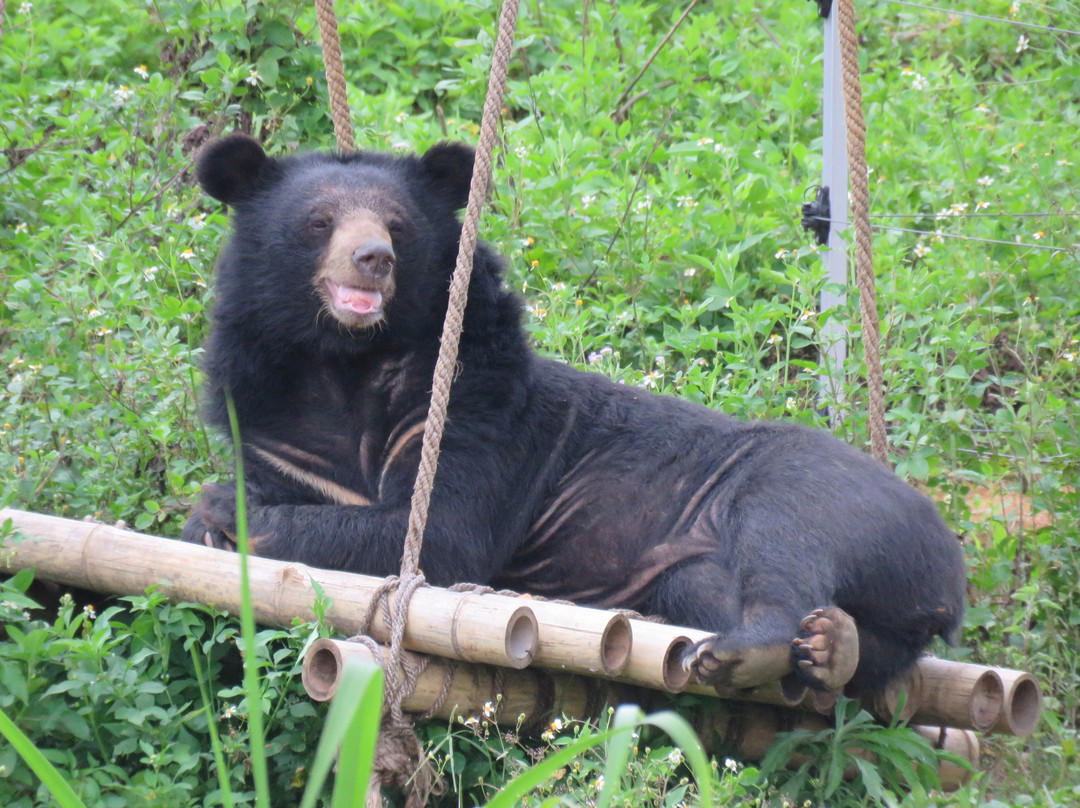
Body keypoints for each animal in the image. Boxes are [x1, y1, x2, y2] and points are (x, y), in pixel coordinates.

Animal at [181, 132, 967, 695]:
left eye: (398, 226)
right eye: (319, 223)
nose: (372, 257)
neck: (346, 361)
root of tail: (947, 572)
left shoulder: (471, 407)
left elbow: (440, 533)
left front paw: (223, 507)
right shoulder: (271, 420)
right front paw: (215, 515)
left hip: (821, 491)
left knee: (783, 543)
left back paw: (753, 650)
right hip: (702, 570)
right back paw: (836, 646)